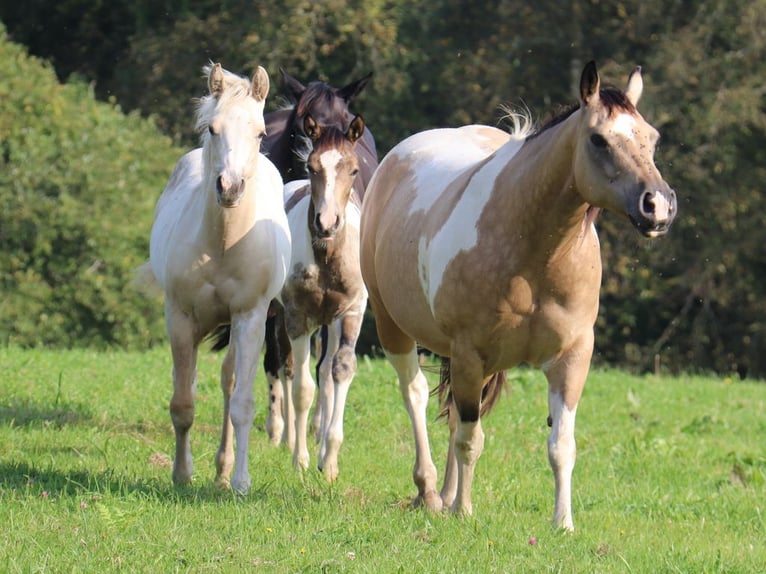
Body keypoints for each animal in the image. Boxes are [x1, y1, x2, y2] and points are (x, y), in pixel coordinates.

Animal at [268, 112, 368, 482]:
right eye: (312, 167)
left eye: (353, 170)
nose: (327, 223)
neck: (326, 257)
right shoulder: (298, 317)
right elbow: (302, 388)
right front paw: (300, 460)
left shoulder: (351, 312)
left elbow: (340, 371)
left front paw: (330, 462)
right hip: (277, 313)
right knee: (285, 368)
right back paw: (288, 441)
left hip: (331, 322)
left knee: (324, 372)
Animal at [360, 60, 680, 532]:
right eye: (599, 139)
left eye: (652, 138)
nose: (658, 205)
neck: (535, 255)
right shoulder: (469, 353)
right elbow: (471, 439)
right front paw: (464, 511)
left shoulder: (571, 357)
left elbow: (560, 444)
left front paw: (563, 523)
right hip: (394, 328)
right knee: (415, 396)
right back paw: (433, 493)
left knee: (451, 415)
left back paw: (448, 494)